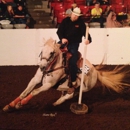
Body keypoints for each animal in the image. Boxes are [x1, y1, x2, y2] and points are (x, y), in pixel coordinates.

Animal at [2, 37, 130, 111]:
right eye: (42, 51)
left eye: (52, 53)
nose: (42, 66)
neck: (51, 66)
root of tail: (96, 72)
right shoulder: (35, 79)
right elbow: (24, 92)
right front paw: (10, 105)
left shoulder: (47, 85)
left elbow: (34, 91)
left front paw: (21, 104)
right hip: (69, 87)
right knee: (67, 93)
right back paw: (56, 102)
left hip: (83, 88)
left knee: (70, 95)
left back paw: (56, 103)